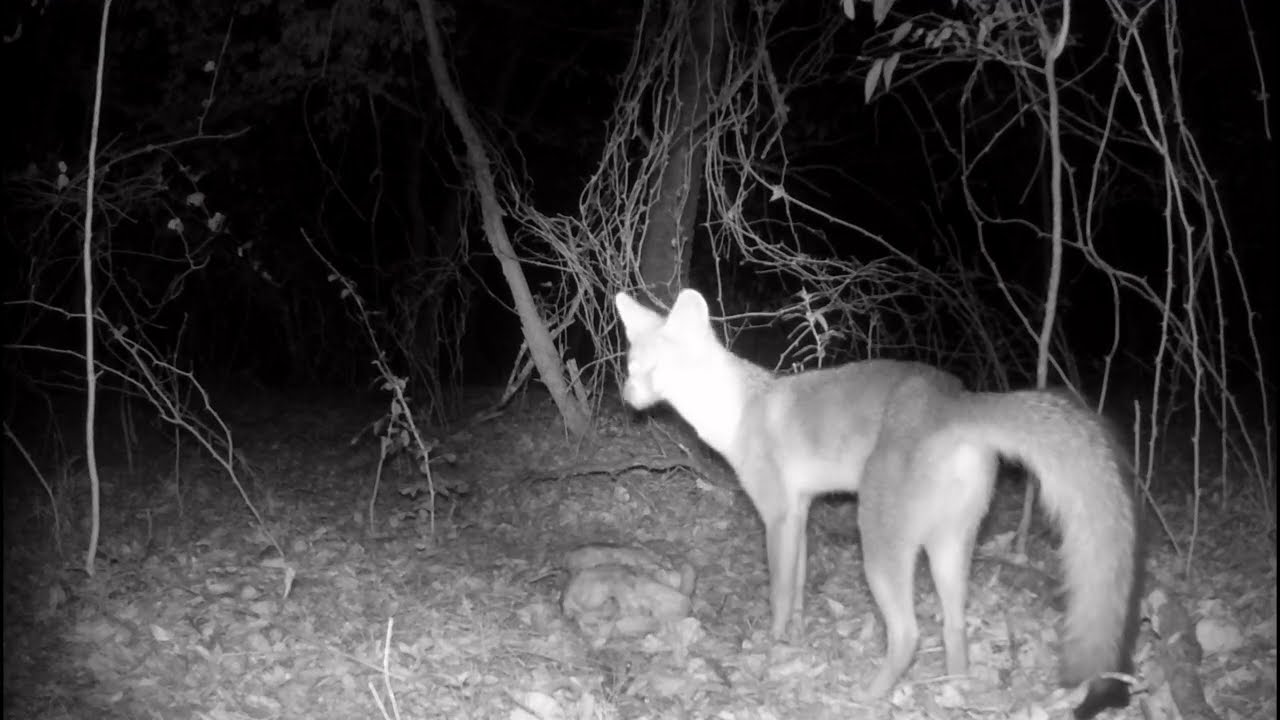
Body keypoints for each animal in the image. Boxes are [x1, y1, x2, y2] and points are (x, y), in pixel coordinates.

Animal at [615, 288, 1140, 719]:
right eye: (630, 367)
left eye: (654, 370)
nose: (625, 395)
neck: (740, 411)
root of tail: (959, 400)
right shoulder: (801, 510)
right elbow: (799, 588)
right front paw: (797, 640)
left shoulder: (778, 513)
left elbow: (780, 594)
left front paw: (773, 648)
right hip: (950, 547)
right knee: (954, 627)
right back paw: (953, 688)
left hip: (879, 543)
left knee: (908, 634)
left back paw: (868, 695)